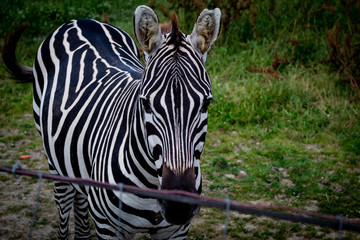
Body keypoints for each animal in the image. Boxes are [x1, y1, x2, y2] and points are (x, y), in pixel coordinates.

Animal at [2, 4, 221, 239]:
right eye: (145, 104)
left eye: (206, 104)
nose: (178, 206)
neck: (153, 184)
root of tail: (80, 20)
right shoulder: (107, 226)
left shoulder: (176, 231)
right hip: (54, 159)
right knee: (64, 201)